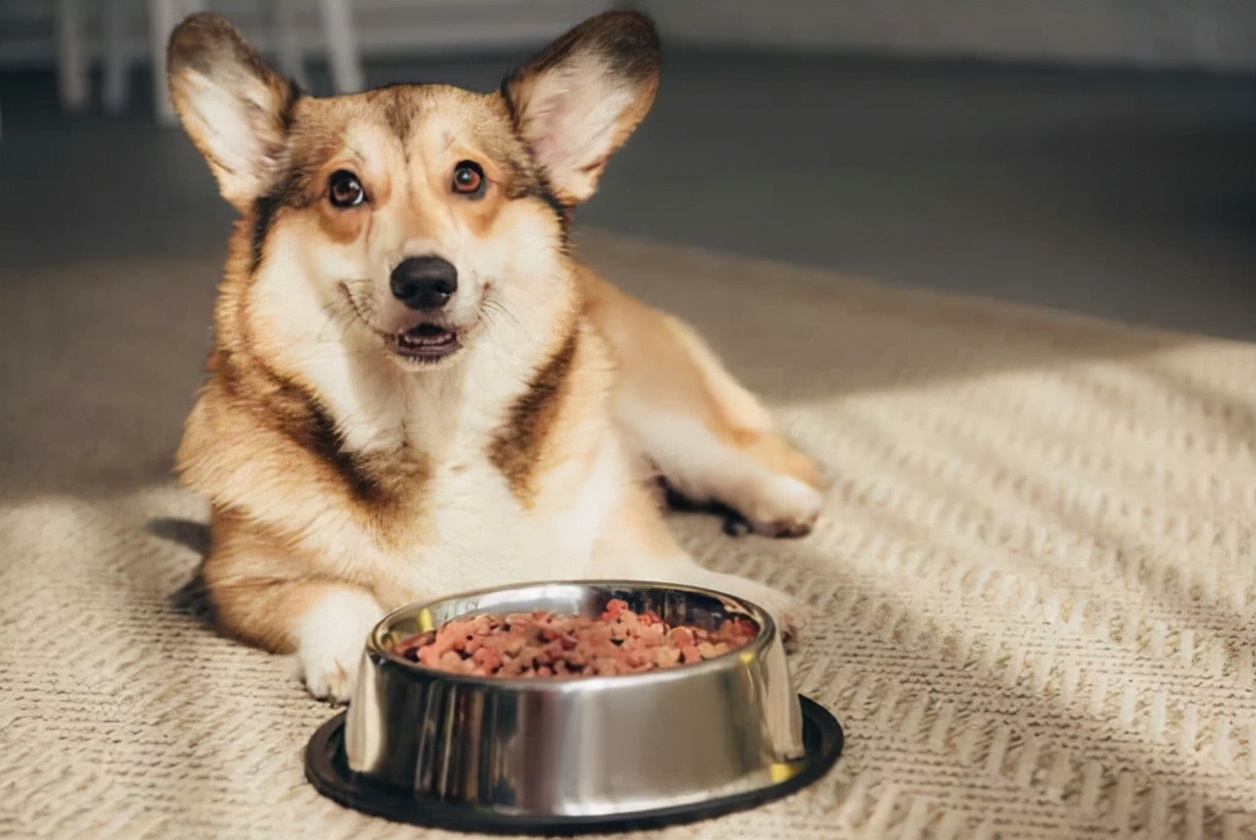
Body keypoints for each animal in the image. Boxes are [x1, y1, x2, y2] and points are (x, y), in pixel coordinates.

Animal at [164, 11, 823, 703]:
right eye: (344, 189)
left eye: (468, 177)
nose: (426, 280)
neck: (432, 420)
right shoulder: (235, 580)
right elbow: (328, 593)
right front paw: (350, 650)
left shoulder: (608, 501)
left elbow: (660, 560)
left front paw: (740, 591)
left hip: (655, 410)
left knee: (730, 459)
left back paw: (783, 503)